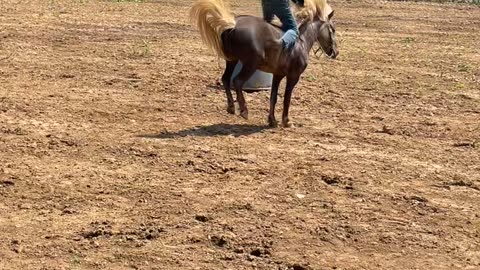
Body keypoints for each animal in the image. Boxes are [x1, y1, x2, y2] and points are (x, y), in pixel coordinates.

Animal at [188, 0, 338, 127]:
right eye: (333, 29)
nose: (335, 52)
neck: (301, 42)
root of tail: (233, 25)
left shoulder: (277, 75)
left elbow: (273, 97)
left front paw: (272, 120)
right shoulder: (293, 76)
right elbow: (286, 98)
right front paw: (286, 121)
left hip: (232, 60)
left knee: (225, 79)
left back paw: (231, 107)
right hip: (250, 65)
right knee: (237, 81)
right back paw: (244, 110)